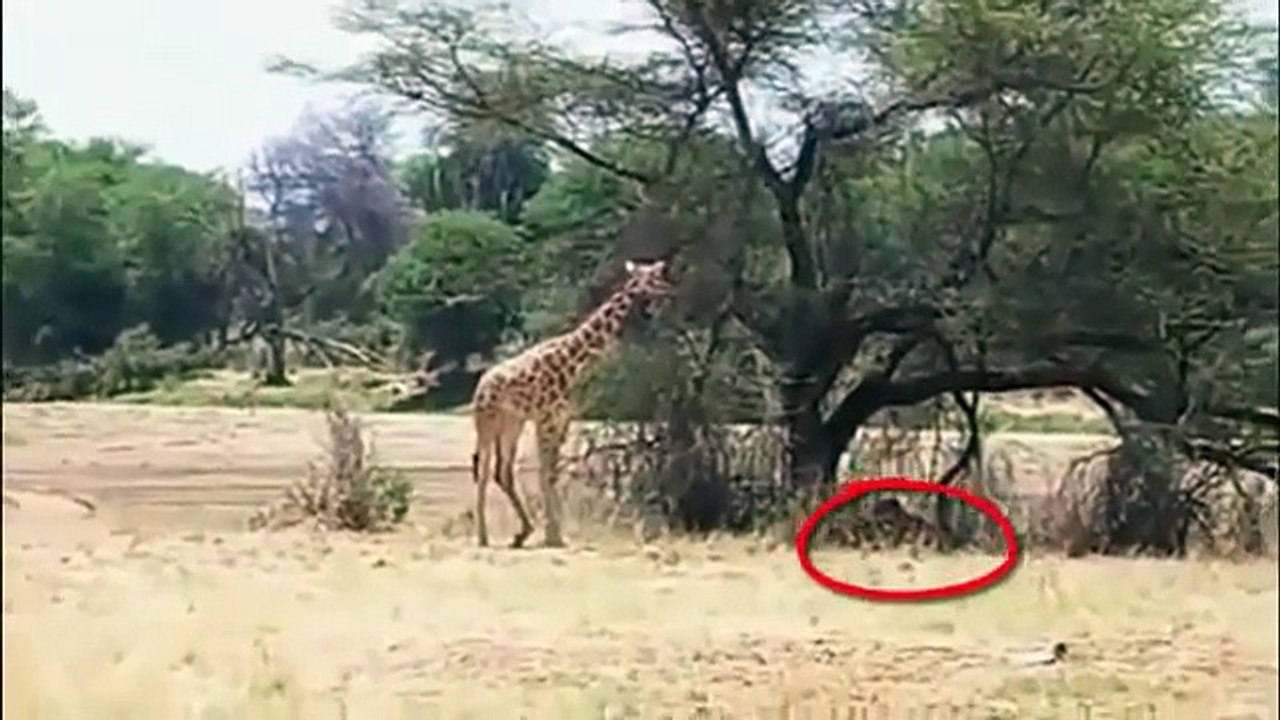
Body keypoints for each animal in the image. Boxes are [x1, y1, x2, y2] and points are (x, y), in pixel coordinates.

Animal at [470, 259, 675, 548]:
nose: (670, 291)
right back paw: (483, 537)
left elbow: (553, 472)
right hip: (487, 422)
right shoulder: (545, 418)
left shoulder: (562, 418)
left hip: (513, 423)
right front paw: (552, 535)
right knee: (483, 470)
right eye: (652, 278)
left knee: (502, 471)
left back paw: (523, 532)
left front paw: (554, 533)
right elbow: (545, 473)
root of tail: (481, 384)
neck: (573, 362)